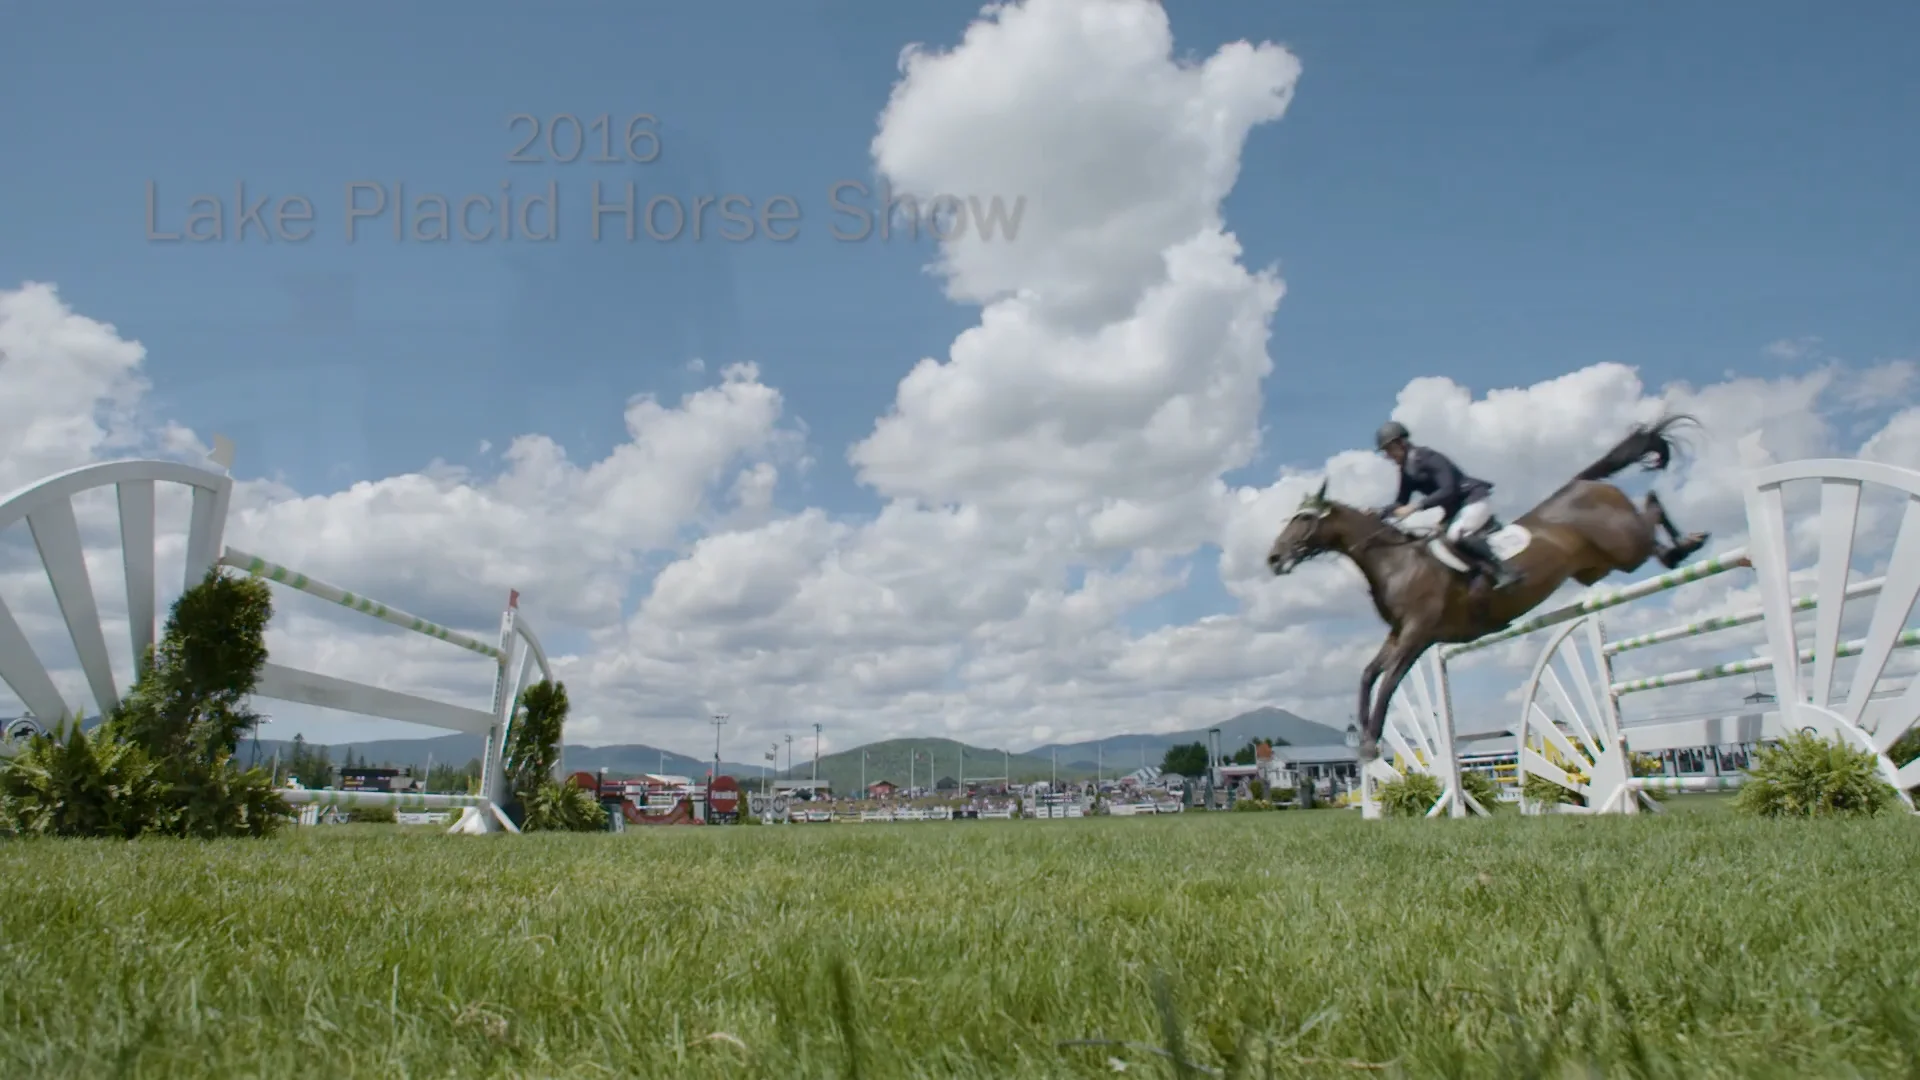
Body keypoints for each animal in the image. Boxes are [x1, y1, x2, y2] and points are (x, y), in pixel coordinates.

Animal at [1266, 415, 1708, 762]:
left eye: (1304, 519)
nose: (1272, 558)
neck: (1396, 562)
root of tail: (1584, 482)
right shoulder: (1401, 632)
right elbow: (1367, 674)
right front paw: (1364, 740)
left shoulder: (1419, 633)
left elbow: (1389, 680)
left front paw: (1371, 744)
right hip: (1602, 565)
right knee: (1651, 519)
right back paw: (1680, 549)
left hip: (1625, 545)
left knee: (1651, 510)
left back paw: (1689, 542)